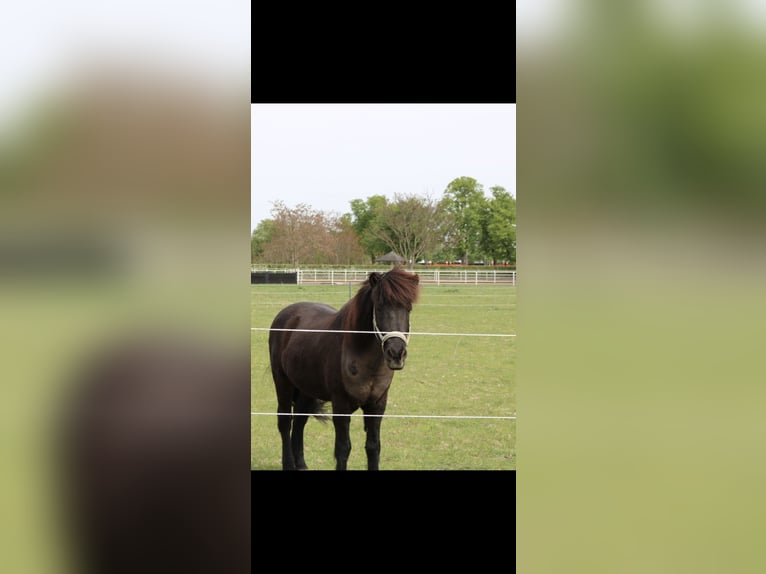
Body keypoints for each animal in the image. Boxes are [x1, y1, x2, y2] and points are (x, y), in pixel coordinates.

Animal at [268, 268, 420, 470]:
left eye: (408, 308)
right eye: (380, 307)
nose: (396, 353)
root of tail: (286, 315)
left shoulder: (377, 405)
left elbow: (373, 447)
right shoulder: (341, 405)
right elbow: (343, 448)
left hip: (307, 388)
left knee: (300, 420)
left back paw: (301, 464)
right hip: (282, 382)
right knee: (285, 421)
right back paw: (289, 464)